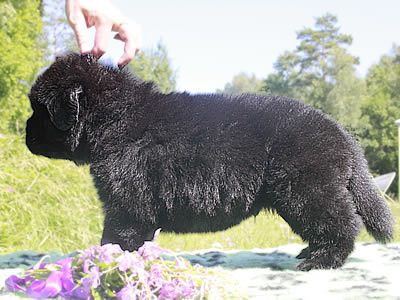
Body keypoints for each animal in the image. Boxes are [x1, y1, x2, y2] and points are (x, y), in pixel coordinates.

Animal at [25, 52, 394, 270]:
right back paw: (310, 253)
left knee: (343, 224)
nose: (24, 136)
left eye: (38, 110)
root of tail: (342, 133)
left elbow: (116, 238)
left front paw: (106, 264)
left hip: (306, 190)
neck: (117, 120)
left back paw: (321, 260)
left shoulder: (126, 205)